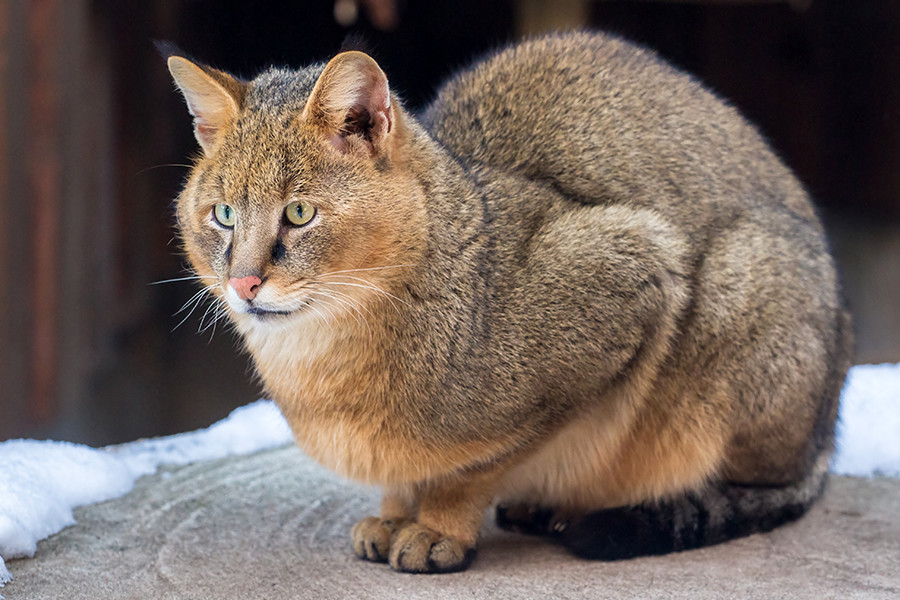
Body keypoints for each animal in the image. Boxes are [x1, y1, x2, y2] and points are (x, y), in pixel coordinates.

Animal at [162, 31, 852, 572]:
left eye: (299, 213)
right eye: (223, 215)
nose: (244, 284)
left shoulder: (638, 267)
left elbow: (482, 464)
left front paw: (438, 525)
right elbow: (405, 477)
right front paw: (396, 512)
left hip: (745, 289)